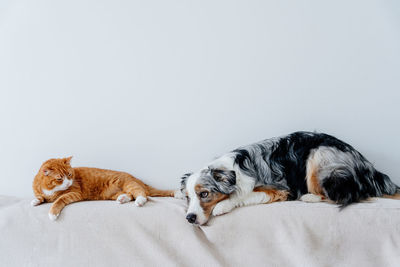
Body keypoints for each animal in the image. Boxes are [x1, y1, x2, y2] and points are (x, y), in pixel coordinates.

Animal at [31, 157, 173, 222]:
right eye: (60, 178)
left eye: (70, 175)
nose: (68, 182)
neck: (50, 190)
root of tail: (137, 179)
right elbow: (40, 197)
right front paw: (35, 201)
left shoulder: (74, 193)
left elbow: (59, 200)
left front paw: (52, 213)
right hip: (113, 193)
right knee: (130, 195)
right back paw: (122, 199)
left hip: (129, 184)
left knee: (141, 193)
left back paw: (140, 201)